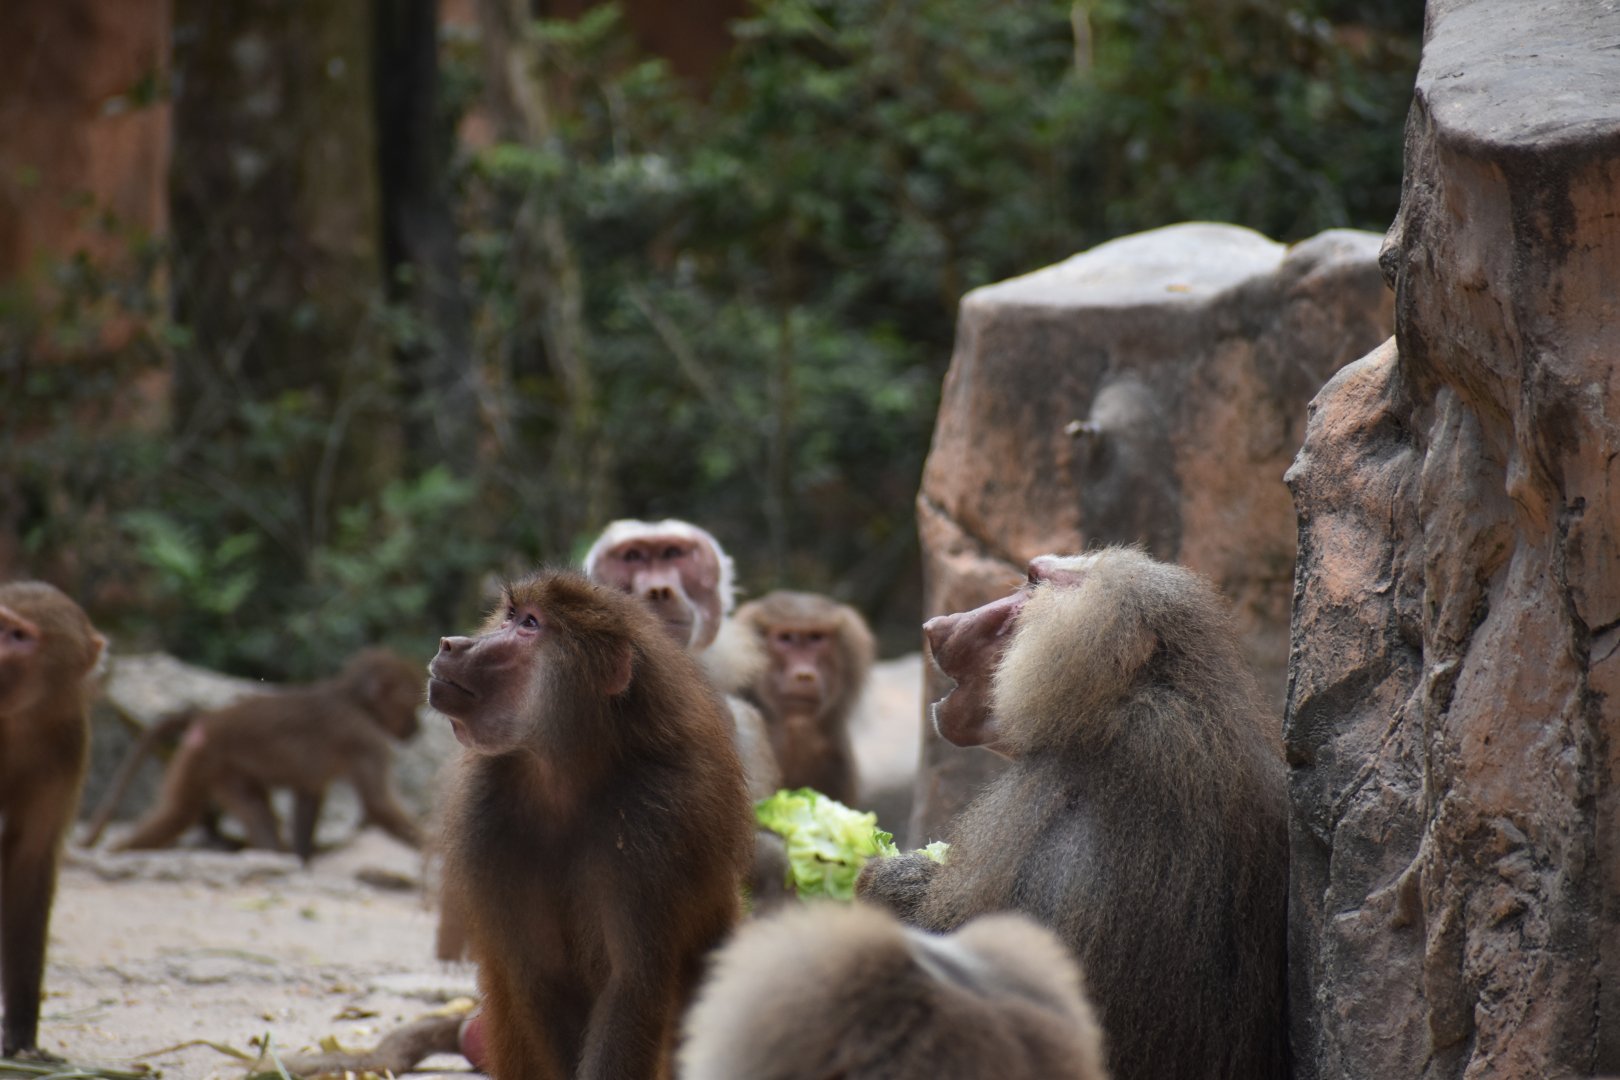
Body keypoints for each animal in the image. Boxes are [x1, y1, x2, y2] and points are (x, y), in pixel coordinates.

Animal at [85, 648, 424, 862]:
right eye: (411, 706)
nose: (416, 729)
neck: (355, 701)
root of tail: (209, 717)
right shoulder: (366, 739)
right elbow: (379, 806)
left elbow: (309, 797)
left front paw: (301, 861)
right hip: (207, 758)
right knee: (190, 812)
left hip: (217, 766)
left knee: (222, 811)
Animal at [430, 570, 752, 1079]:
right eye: (509, 615)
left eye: (530, 624)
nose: (451, 644)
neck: (568, 775)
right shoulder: (487, 818)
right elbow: (542, 978)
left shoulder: (655, 817)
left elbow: (632, 986)